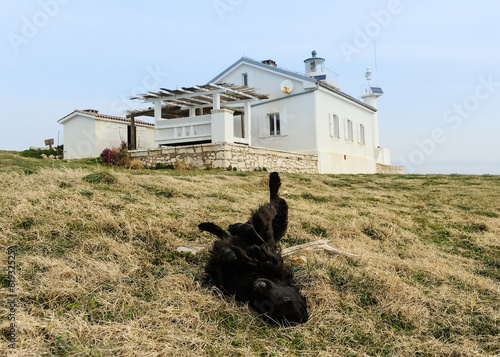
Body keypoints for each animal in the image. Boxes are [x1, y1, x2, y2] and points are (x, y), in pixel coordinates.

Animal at [199, 171, 308, 324]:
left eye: (272, 311)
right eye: (288, 299)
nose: (259, 286)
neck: (255, 274)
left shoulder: (225, 284)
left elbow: (226, 256)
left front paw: (227, 253)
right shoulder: (267, 249)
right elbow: (249, 230)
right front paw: (235, 227)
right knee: (273, 203)